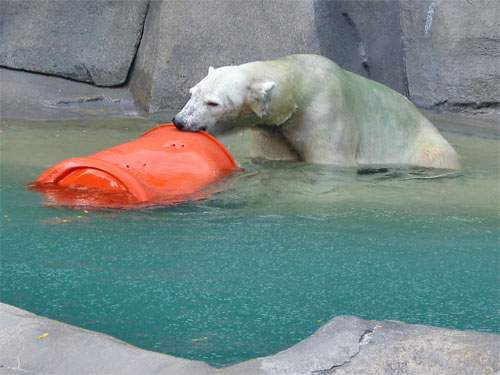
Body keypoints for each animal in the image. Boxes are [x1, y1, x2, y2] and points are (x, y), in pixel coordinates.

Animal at [173, 54, 460, 169]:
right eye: (192, 92)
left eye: (213, 103)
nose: (180, 121)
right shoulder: (274, 129)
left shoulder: (326, 113)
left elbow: (332, 159)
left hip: (427, 148)